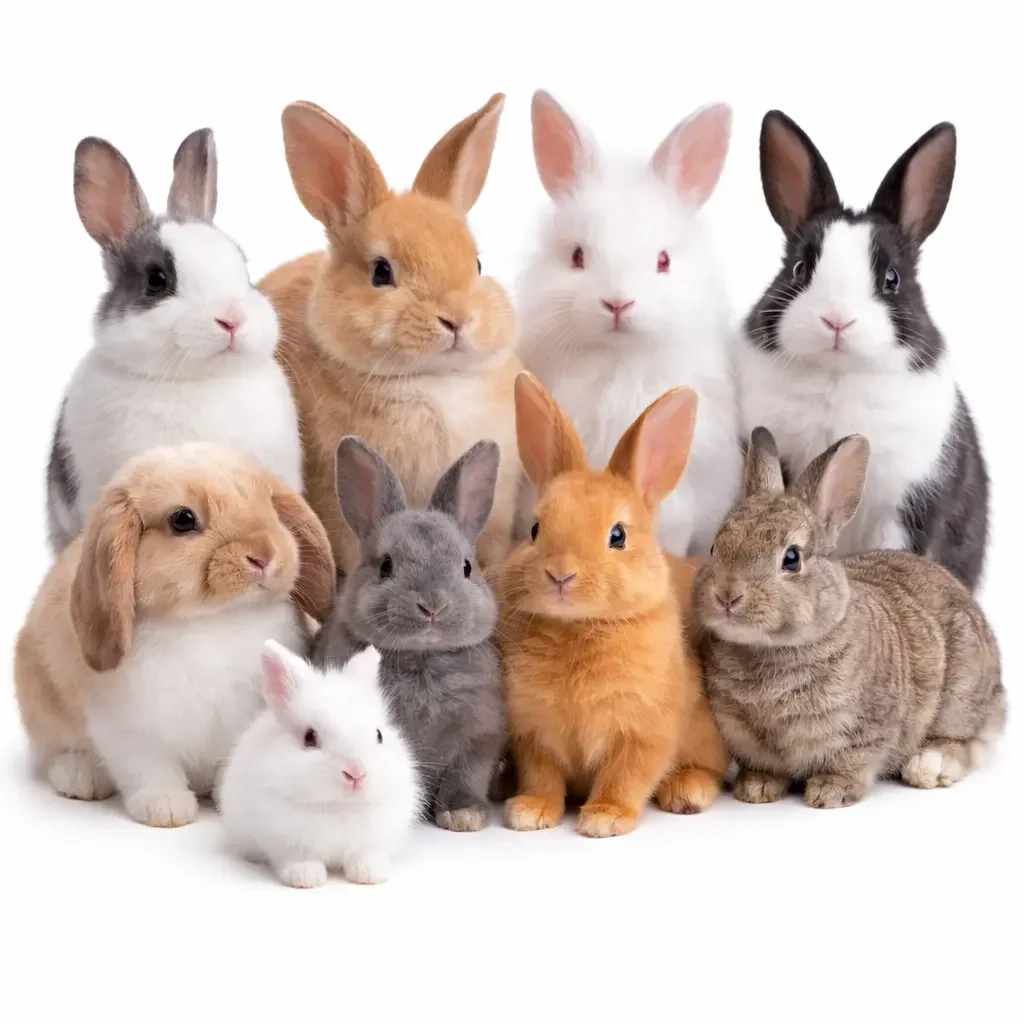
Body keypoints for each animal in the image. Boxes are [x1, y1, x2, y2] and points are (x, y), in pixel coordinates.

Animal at [15, 443, 335, 828]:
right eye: (183, 520)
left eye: (270, 506)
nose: (263, 555)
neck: (213, 622)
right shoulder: (130, 730)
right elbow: (149, 770)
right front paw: (166, 808)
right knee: (53, 754)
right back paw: (81, 776)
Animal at [218, 641, 421, 888]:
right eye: (309, 737)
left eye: (379, 735)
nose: (356, 773)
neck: (338, 807)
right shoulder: (286, 841)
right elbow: (299, 858)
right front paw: (306, 878)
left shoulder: (375, 838)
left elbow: (365, 855)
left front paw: (369, 875)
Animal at [313, 436, 505, 833]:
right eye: (386, 566)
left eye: (466, 567)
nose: (433, 605)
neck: (422, 656)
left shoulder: (478, 739)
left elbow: (466, 777)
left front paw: (464, 816)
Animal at [499, 372, 729, 839]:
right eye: (534, 529)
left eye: (618, 536)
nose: (561, 574)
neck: (578, 626)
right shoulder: (532, 735)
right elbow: (542, 776)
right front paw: (531, 812)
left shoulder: (643, 733)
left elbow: (626, 776)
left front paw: (605, 818)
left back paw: (686, 791)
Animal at [693, 428, 1006, 809]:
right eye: (714, 548)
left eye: (791, 558)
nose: (727, 596)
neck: (769, 650)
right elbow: (763, 766)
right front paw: (756, 789)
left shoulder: (866, 730)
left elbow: (852, 763)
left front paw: (829, 793)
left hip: (960, 695)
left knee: (965, 742)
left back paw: (927, 767)